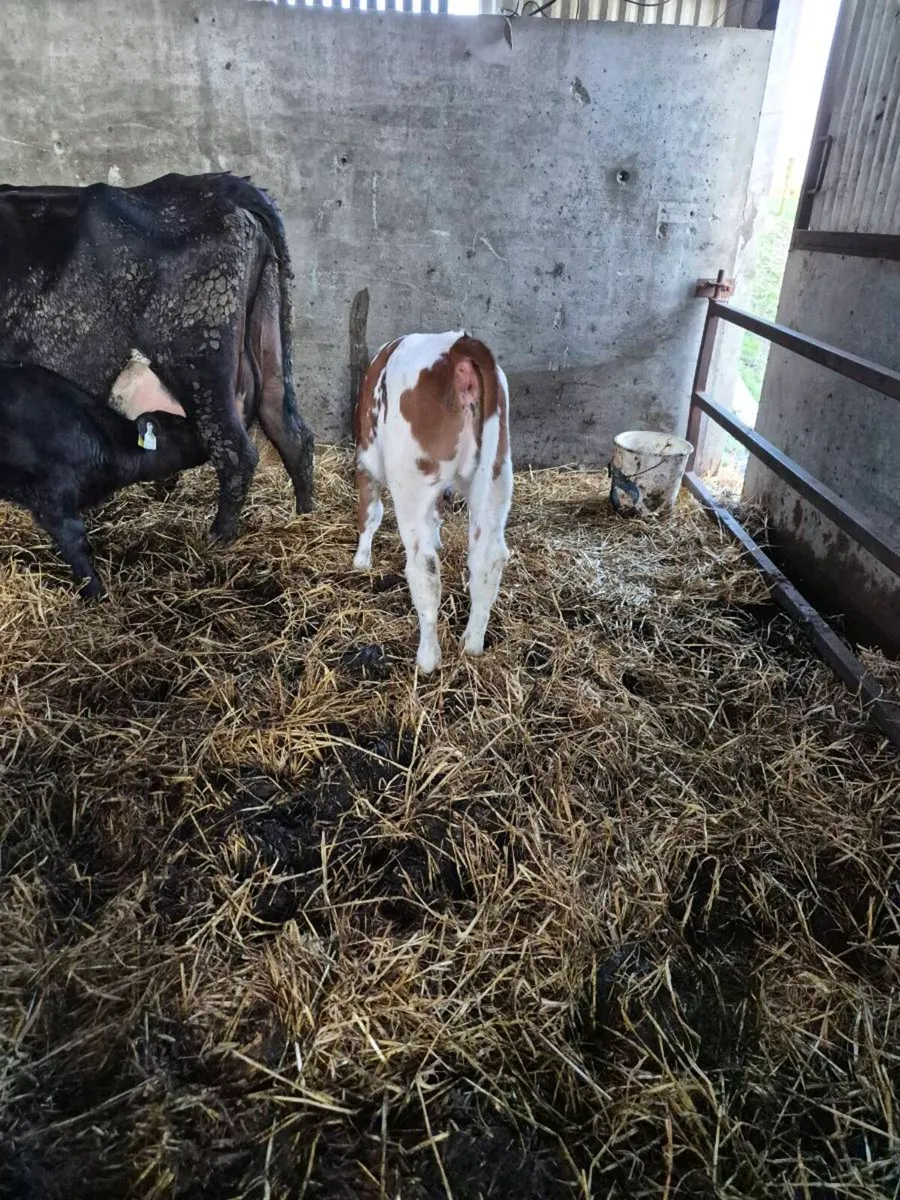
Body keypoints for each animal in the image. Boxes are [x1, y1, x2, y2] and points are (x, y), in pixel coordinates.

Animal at [0, 172, 314, 542]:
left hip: (197, 362)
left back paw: (218, 539)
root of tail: (220, 185)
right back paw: (306, 515)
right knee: (290, 430)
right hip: (268, 332)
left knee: (237, 452)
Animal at [353, 331, 513, 674]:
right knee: (488, 560)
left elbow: (370, 513)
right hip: (497, 477)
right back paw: (472, 645)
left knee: (424, 568)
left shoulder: (365, 462)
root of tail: (459, 347)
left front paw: (360, 560)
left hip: (409, 483)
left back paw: (427, 659)